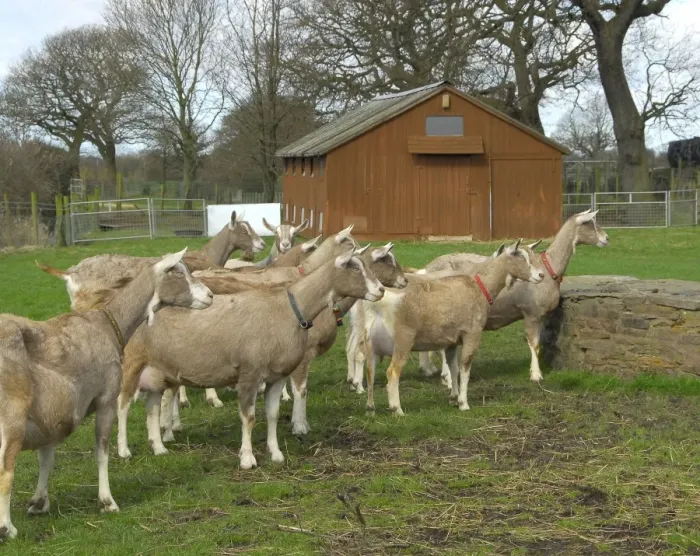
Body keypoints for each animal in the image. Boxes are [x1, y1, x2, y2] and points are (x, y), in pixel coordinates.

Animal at [0, 249, 213, 540]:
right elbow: (102, 452)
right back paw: (7, 527)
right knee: (5, 471)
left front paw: (39, 502)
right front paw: (107, 501)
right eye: (178, 272)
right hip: (12, 417)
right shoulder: (106, 400)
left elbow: (47, 458)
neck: (107, 324)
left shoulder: (52, 414)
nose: (210, 296)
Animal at [116, 249, 385, 468]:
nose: (381, 290)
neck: (288, 310)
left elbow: (272, 414)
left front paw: (276, 453)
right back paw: (124, 450)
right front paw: (247, 458)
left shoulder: (277, 376)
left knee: (151, 407)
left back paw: (159, 447)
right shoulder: (249, 373)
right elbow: (249, 417)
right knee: (123, 405)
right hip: (131, 365)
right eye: (355, 268)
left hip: (156, 372)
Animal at [363, 240, 545, 415]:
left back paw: (370, 408)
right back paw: (397, 409)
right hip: (403, 340)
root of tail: (379, 303)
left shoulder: (451, 341)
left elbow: (454, 368)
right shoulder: (472, 334)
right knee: (392, 372)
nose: (541, 275)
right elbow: (465, 368)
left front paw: (453, 398)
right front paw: (464, 403)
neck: (480, 286)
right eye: (520, 256)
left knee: (370, 371)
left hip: (371, 343)